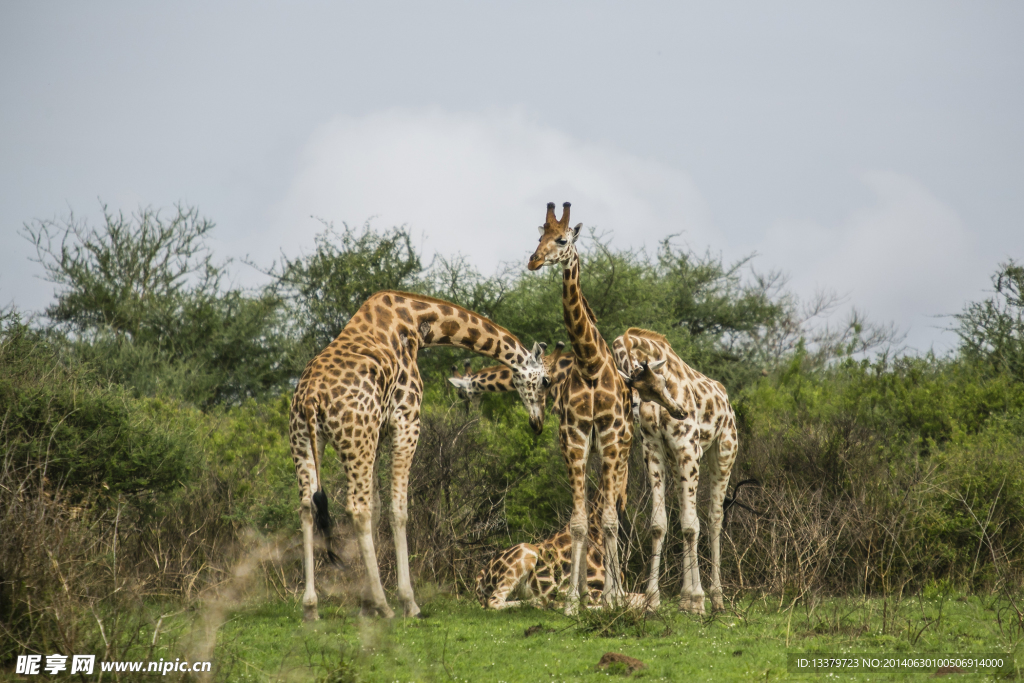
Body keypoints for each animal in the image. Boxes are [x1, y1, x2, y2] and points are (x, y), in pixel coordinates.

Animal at [292, 290, 548, 622]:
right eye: (545, 381)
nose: (538, 422)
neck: (415, 322)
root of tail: (311, 396)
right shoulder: (406, 419)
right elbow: (398, 510)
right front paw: (405, 602)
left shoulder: (379, 431)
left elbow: (378, 509)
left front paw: (366, 605)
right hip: (355, 436)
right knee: (356, 508)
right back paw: (387, 606)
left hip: (307, 439)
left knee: (308, 507)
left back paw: (311, 608)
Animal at [610, 327, 741, 614]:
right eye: (642, 391)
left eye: (662, 381)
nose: (679, 411)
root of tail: (727, 400)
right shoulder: (653, 451)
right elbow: (660, 524)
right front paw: (653, 598)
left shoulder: (688, 448)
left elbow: (692, 526)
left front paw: (698, 600)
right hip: (677, 462)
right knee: (686, 516)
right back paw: (684, 598)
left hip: (723, 453)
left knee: (714, 519)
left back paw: (716, 598)